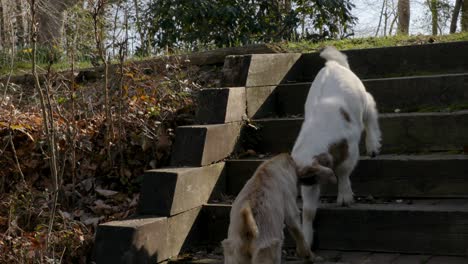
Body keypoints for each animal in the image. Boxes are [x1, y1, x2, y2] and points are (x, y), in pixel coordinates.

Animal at [290, 46, 382, 249]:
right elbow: (308, 210)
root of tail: (334, 64)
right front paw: (307, 241)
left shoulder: (351, 149)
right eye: (303, 180)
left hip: (363, 99)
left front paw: (345, 199)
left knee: (371, 112)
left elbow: (343, 171)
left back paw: (373, 146)